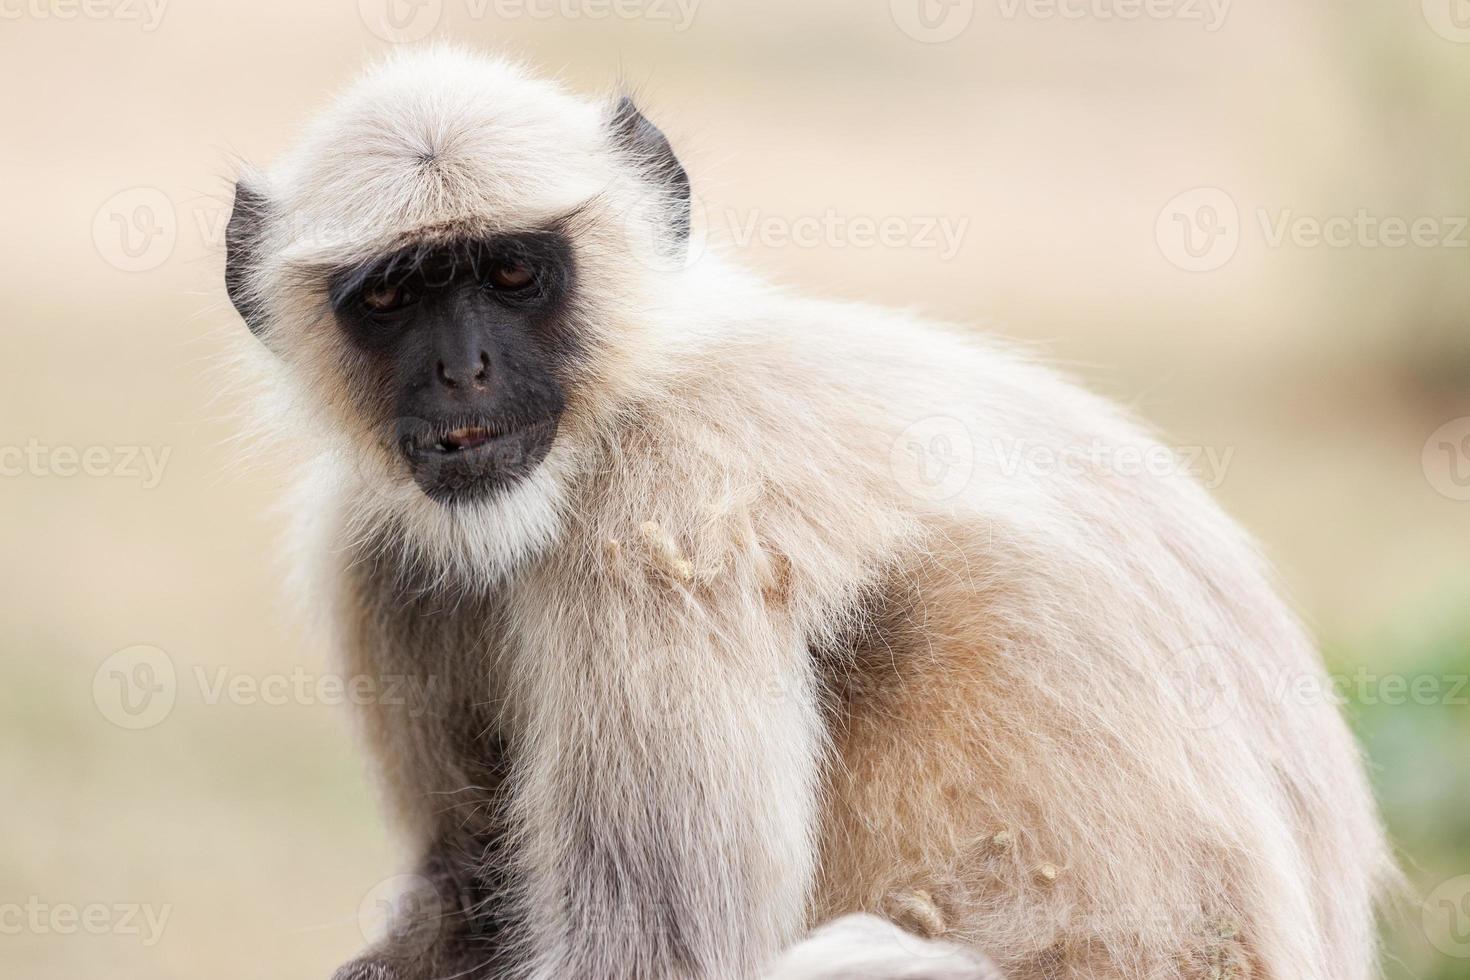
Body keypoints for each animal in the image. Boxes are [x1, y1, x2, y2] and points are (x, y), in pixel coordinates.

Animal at [223, 49, 1393, 980]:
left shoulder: (672, 512)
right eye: (392, 297)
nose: (462, 371)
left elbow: (658, 957)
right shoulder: (376, 543)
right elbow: (468, 899)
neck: (626, 402)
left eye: (512, 272)